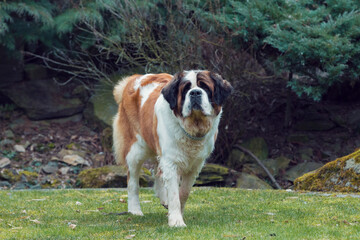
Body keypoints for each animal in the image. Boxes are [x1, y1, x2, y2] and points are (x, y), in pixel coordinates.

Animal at [114, 70, 235, 227]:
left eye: (205, 87)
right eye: (185, 89)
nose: (195, 92)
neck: (192, 128)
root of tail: (134, 78)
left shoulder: (195, 166)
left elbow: (183, 192)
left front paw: (177, 213)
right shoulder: (171, 161)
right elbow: (174, 193)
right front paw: (176, 221)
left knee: (158, 172)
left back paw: (163, 200)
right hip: (136, 150)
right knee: (132, 181)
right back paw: (135, 210)